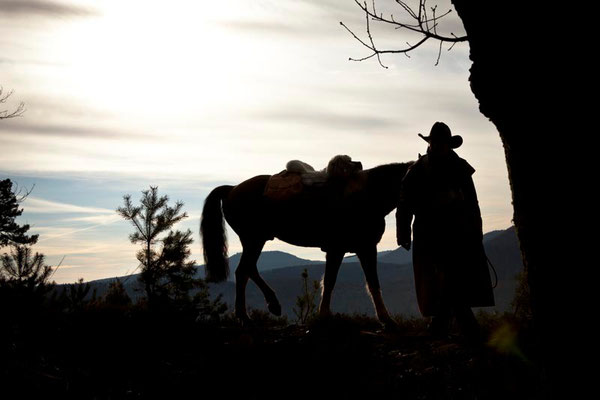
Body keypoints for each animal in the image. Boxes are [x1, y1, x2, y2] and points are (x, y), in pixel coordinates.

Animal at [200, 161, 412, 326]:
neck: (366, 194)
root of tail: (231, 188)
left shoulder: (356, 248)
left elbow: (358, 282)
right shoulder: (351, 248)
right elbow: (339, 281)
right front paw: (386, 320)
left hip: (254, 241)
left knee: (247, 270)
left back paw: (267, 306)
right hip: (254, 240)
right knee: (243, 271)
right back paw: (248, 315)